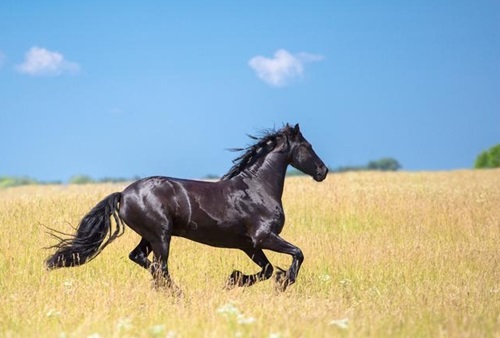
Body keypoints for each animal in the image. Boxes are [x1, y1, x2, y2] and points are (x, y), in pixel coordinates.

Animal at [46, 124, 328, 290]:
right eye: (308, 146)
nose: (322, 171)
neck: (257, 188)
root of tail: (123, 194)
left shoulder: (249, 245)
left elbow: (267, 270)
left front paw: (235, 279)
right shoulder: (263, 237)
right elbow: (298, 253)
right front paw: (284, 282)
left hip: (151, 237)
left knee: (140, 258)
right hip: (161, 237)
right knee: (160, 267)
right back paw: (175, 292)